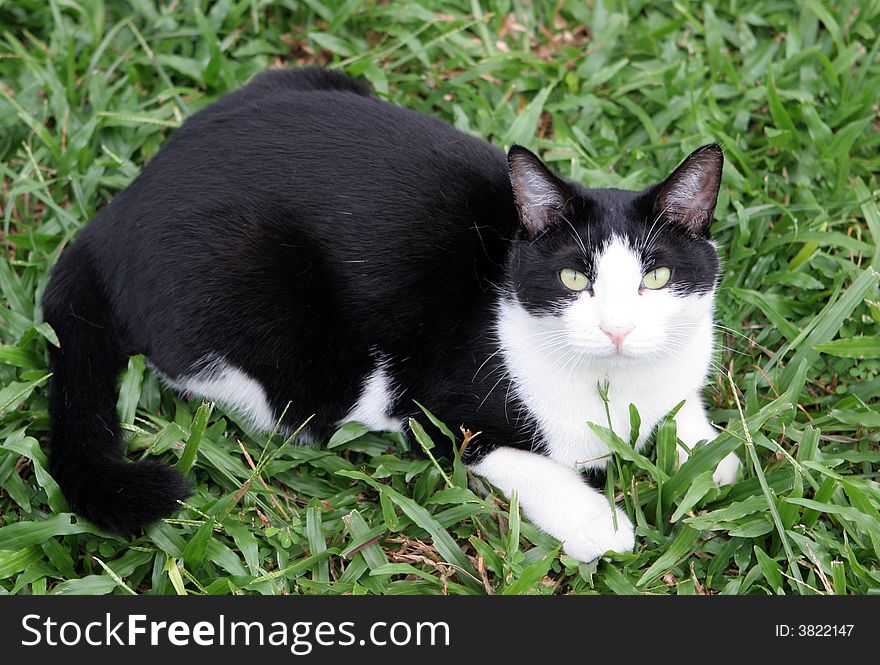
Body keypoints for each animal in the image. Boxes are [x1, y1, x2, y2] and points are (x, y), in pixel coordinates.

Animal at [43, 67, 744, 560]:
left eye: (656, 278)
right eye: (574, 278)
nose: (616, 329)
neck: (616, 391)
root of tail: (108, 219)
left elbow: (696, 427)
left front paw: (706, 453)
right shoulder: (440, 410)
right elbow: (515, 459)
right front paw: (599, 523)